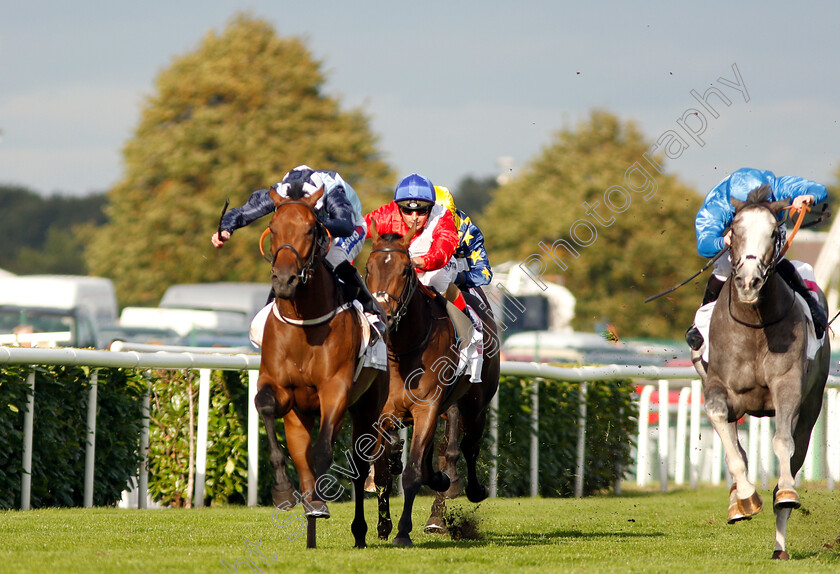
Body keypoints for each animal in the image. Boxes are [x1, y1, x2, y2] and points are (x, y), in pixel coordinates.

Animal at [256, 187, 388, 552]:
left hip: (368, 404)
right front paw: (283, 492)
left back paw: (359, 530)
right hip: (299, 413)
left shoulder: (335, 389)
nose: (284, 280)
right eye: (273, 228)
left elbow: (323, 449)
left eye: (310, 230)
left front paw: (318, 503)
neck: (304, 325)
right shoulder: (277, 386)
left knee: (361, 465)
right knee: (300, 453)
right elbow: (266, 407)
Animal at [362, 223, 496, 548]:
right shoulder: (384, 414)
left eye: (404, 271)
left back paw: (461, 495)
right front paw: (383, 525)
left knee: (464, 447)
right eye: (368, 268)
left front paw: (403, 532)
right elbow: (385, 471)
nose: (382, 314)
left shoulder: (428, 408)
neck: (403, 348)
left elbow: (413, 472)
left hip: (474, 405)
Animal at [692, 187, 832, 560]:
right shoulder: (718, 387)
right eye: (735, 230)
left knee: (795, 451)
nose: (749, 282)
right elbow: (730, 443)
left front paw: (785, 493)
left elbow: (782, 443)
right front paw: (743, 497)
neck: (755, 325)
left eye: (773, 232)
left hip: (811, 408)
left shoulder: (788, 386)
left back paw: (780, 542)